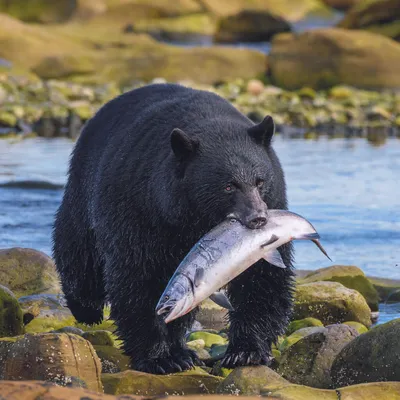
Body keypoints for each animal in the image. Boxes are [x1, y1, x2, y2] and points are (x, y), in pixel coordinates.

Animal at [52, 84, 294, 376]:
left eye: (260, 181)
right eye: (228, 186)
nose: (257, 218)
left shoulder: (270, 213)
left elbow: (262, 278)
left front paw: (246, 351)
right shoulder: (141, 210)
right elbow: (140, 277)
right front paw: (161, 357)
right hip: (86, 183)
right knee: (78, 248)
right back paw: (86, 309)